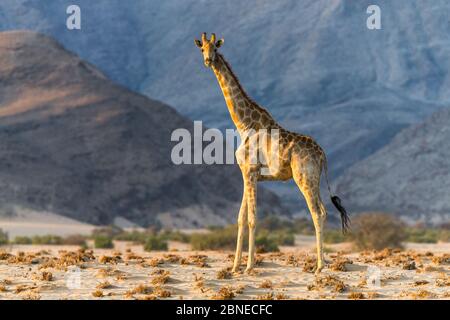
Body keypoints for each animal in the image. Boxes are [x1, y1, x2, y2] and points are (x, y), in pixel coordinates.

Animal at [195, 32, 350, 274]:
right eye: (202, 48)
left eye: (216, 48)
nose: (208, 60)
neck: (244, 124)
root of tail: (323, 155)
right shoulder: (248, 174)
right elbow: (240, 218)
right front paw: (234, 267)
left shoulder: (250, 171)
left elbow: (252, 218)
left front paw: (248, 267)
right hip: (313, 180)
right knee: (324, 211)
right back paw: (320, 264)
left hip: (303, 178)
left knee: (317, 212)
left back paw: (319, 267)